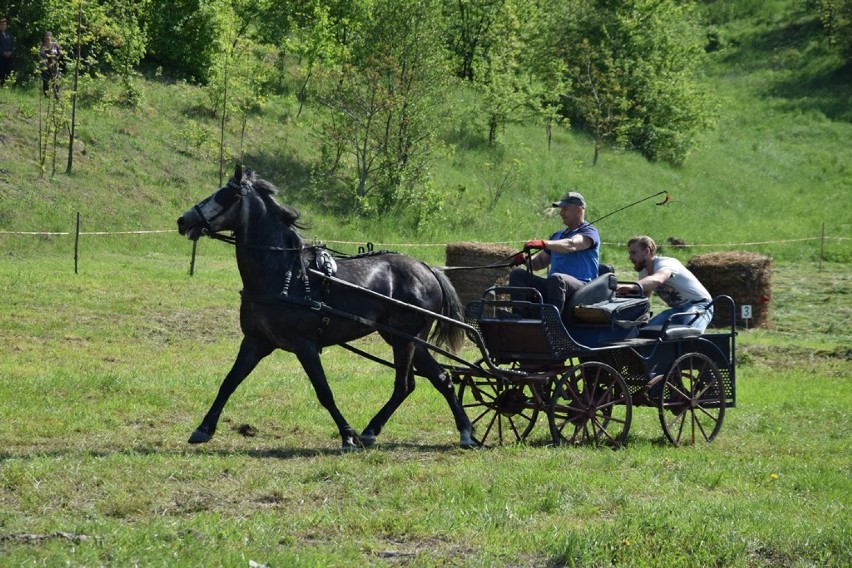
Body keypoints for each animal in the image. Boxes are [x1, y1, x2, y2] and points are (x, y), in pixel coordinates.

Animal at [176, 166, 476, 450]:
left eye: (224, 195)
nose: (183, 220)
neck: (284, 274)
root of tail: (428, 268)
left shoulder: (304, 344)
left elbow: (324, 391)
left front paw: (347, 436)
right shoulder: (255, 341)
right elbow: (230, 381)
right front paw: (203, 429)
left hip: (406, 339)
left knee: (405, 384)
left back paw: (375, 431)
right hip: (406, 339)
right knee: (440, 378)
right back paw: (463, 432)